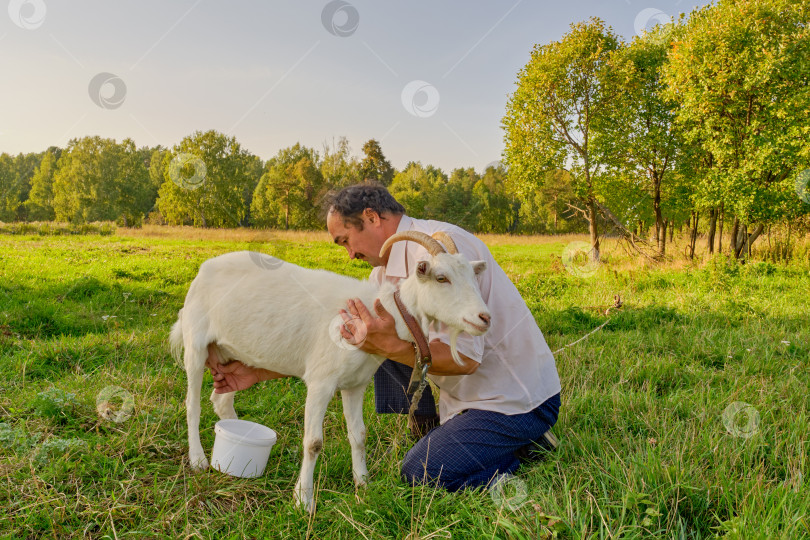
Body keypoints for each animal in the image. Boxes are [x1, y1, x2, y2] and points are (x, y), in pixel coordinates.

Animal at [167, 231, 490, 510]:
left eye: (473, 277)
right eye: (441, 278)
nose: (484, 318)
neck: (379, 311)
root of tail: (203, 269)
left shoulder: (355, 384)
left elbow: (359, 435)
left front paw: (363, 485)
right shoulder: (320, 381)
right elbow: (313, 443)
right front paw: (303, 500)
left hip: (234, 353)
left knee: (221, 400)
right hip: (196, 343)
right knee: (192, 404)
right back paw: (198, 459)